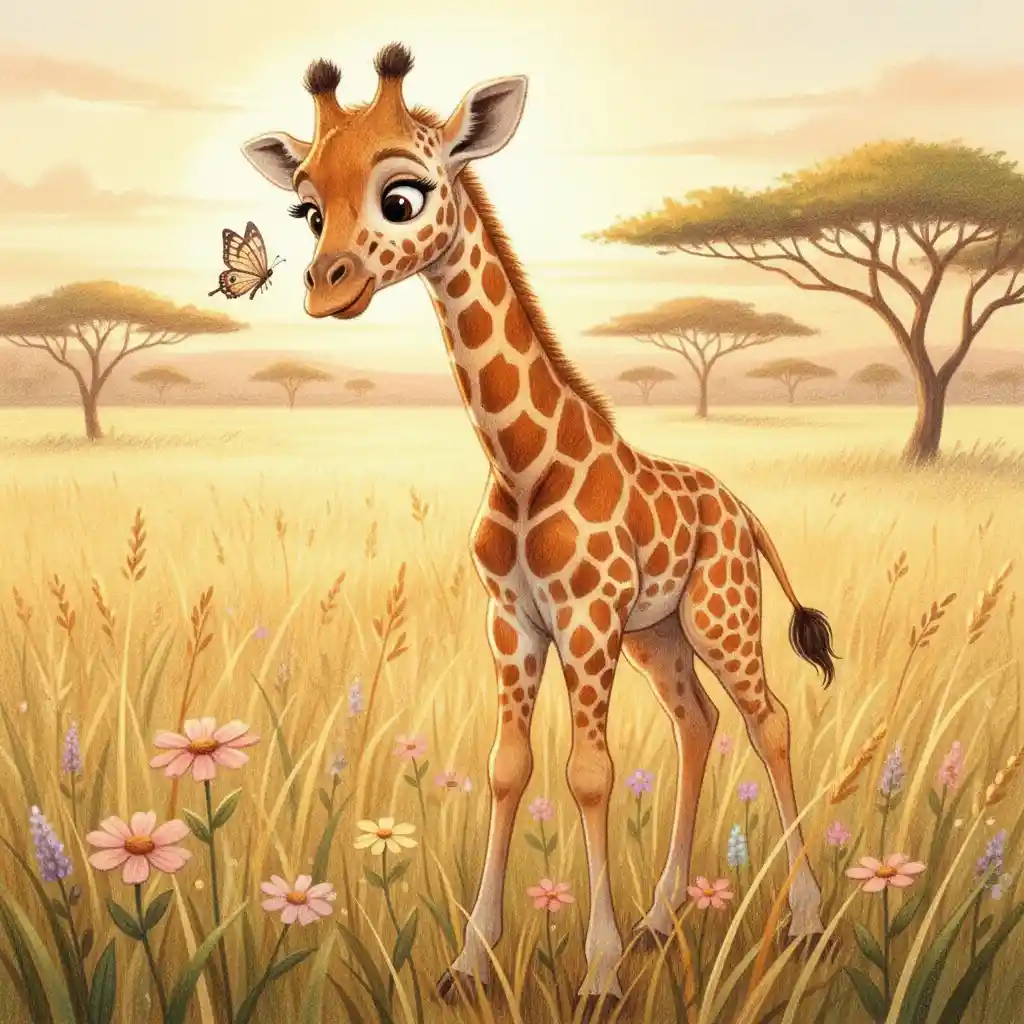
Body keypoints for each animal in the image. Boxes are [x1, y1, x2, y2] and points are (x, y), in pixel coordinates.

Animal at [241, 43, 838, 1010]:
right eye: (307, 207)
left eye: (402, 195)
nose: (327, 288)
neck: (523, 465)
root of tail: (742, 509)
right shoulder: (512, 621)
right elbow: (508, 766)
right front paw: (467, 963)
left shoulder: (584, 620)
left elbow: (588, 774)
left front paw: (596, 975)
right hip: (659, 633)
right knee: (698, 724)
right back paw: (661, 919)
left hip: (719, 615)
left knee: (770, 720)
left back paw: (809, 921)